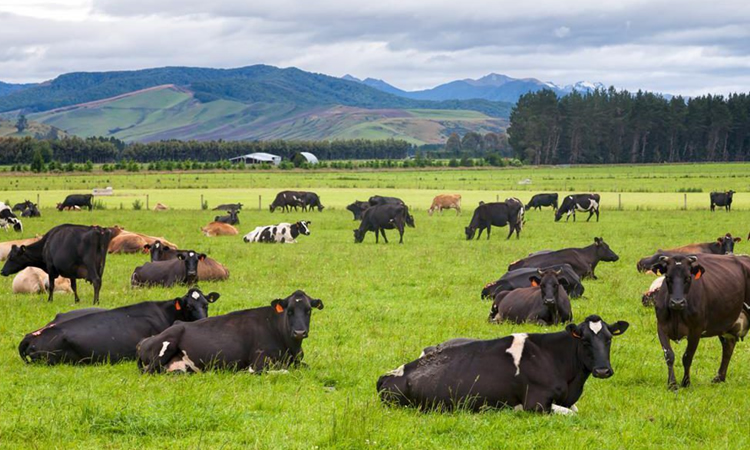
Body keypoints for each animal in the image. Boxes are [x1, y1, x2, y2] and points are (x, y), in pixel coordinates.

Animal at [137, 290, 324, 374]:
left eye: (308, 310)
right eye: (289, 311)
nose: (299, 332)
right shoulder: (259, 363)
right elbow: (282, 371)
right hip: (166, 346)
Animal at [378, 314, 632, 414]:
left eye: (608, 339)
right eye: (585, 341)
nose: (602, 370)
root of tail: (387, 375)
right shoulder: (535, 404)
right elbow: (573, 414)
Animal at [648, 255, 750, 388]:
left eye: (688, 277)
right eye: (668, 277)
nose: (677, 302)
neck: (676, 313)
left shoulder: (695, 331)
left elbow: (687, 357)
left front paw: (686, 382)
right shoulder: (661, 327)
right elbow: (669, 355)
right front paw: (672, 384)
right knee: (728, 347)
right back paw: (719, 378)